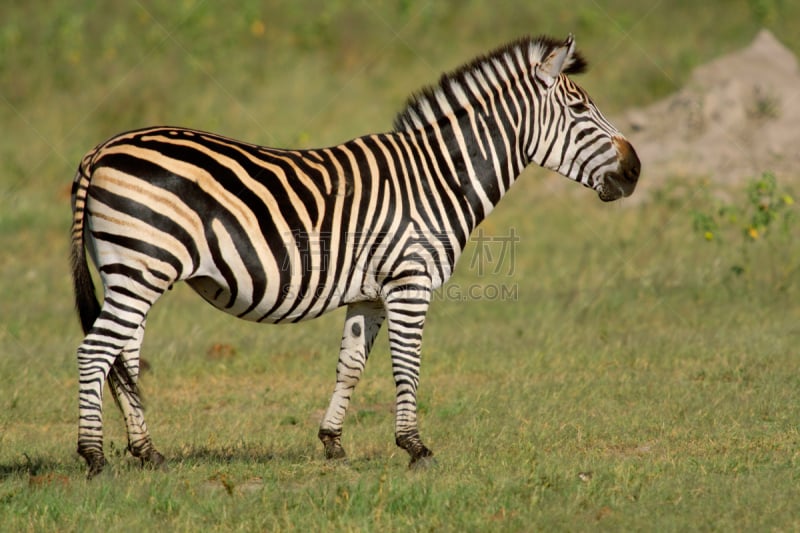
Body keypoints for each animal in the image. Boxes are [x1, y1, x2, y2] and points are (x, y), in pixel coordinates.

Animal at [70, 35, 644, 476]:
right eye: (579, 110)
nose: (636, 170)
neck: (439, 177)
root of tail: (102, 149)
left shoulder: (368, 293)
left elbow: (350, 364)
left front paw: (332, 442)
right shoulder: (410, 282)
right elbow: (407, 364)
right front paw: (415, 448)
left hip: (131, 271)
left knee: (124, 356)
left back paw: (148, 453)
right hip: (141, 268)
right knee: (95, 352)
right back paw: (95, 457)